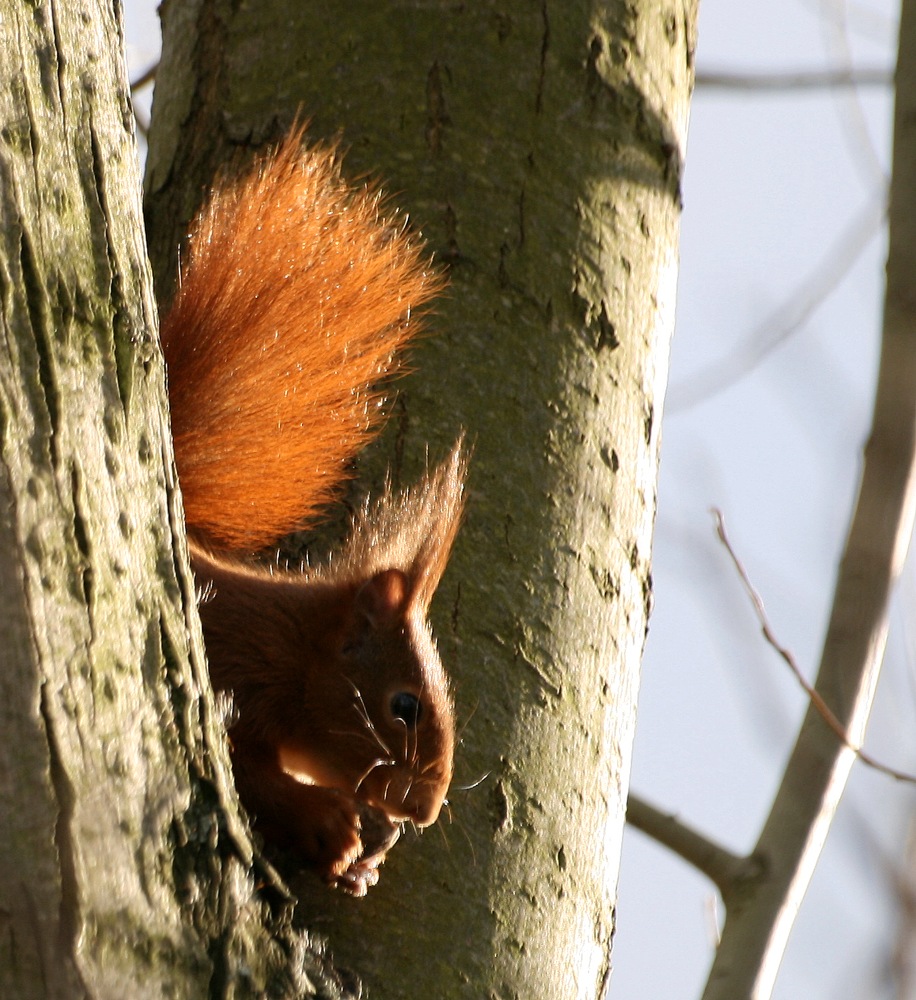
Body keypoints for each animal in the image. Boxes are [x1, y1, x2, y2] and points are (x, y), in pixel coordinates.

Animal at [158, 127, 468, 900]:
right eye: (403, 706)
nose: (425, 809)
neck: (294, 652)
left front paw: (365, 865)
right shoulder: (234, 668)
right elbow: (244, 770)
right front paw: (332, 826)